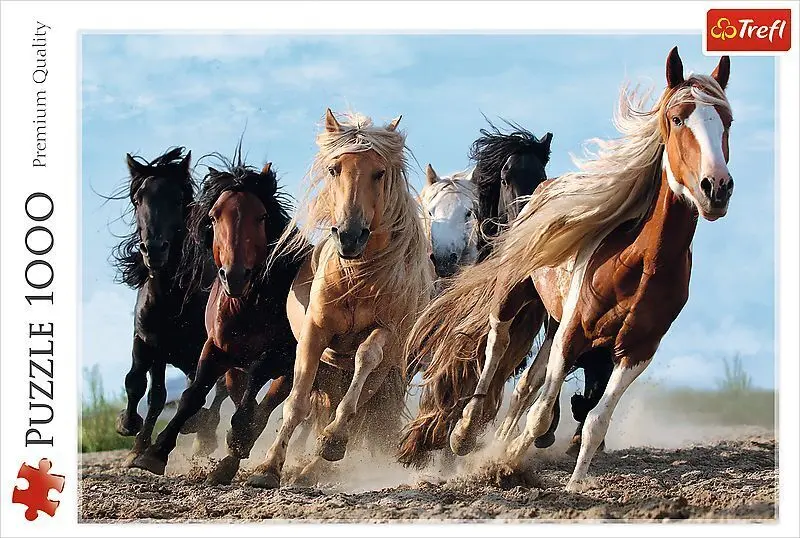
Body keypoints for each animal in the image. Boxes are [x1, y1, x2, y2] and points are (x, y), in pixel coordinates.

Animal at [110, 147, 226, 467]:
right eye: (138, 199)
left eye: (177, 199)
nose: (154, 249)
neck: (171, 299)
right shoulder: (148, 342)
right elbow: (142, 385)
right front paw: (131, 433)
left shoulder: (204, 348)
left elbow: (197, 390)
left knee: (218, 391)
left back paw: (203, 433)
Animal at [130, 153, 307, 485]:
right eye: (213, 217)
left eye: (261, 217)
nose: (234, 276)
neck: (247, 305)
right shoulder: (214, 348)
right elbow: (192, 395)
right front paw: (154, 453)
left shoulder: (281, 355)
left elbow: (255, 389)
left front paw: (237, 437)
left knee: (265, 405)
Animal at [246, 109, 434, 489]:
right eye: (335, 169)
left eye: (379, 173)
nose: (349, 236)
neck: (357, 277)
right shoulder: (315, 333)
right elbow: (297, 403)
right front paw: (268, 467)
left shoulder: (386, 332)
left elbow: (365, 359)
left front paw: (332, 440)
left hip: (383, 374)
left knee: (358, 410)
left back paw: (316, 464)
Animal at [405, 47, 734, 491]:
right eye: (678, 118)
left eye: (727, 120)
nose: (715, 187)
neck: (639, 263)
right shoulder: (572, 331)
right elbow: (540, 410)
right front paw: (504, 460)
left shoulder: (637, 349)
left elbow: (595, 419)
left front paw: (574, 484)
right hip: (515, 296)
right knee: (496, 344)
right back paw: (466, 430)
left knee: (527, 384)